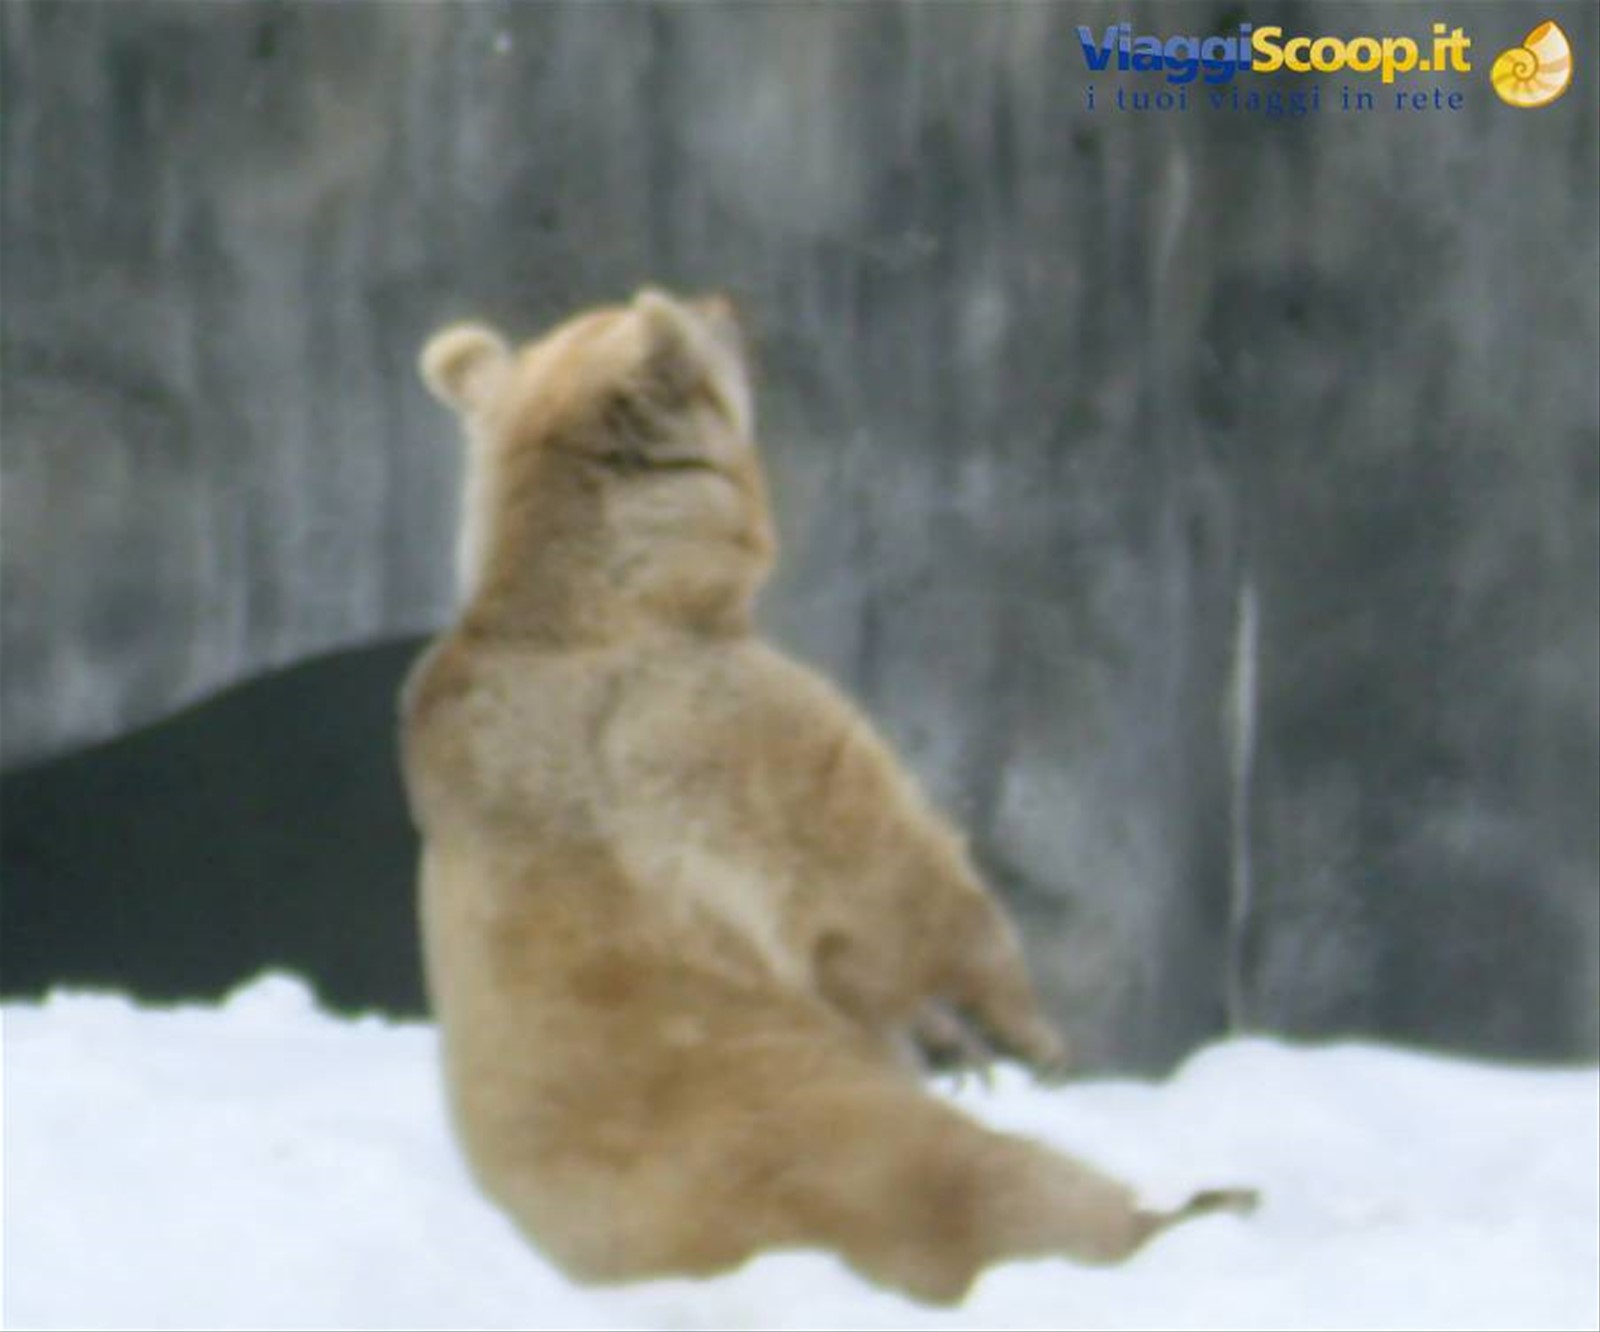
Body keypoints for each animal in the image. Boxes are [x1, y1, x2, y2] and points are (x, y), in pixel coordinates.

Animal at [400, 287, 1255, 1305]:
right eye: (689, 317)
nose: (731, 301)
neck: (609, 597)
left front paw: (955, 1042)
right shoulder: (720, 725)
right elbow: (884, 873)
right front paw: (1026, 1031)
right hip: (838, 1143)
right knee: (993, 1186)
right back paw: (1191, 1209)